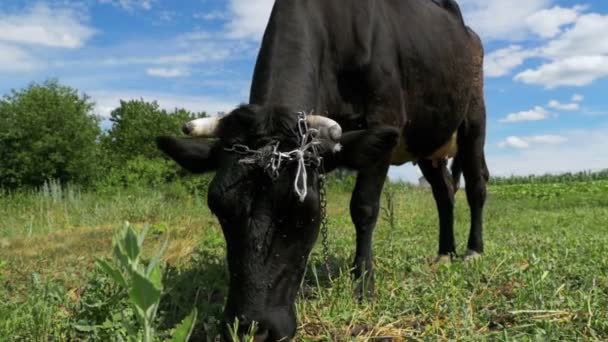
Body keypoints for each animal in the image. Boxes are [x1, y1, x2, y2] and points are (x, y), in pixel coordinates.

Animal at [157, 0, 490, 338]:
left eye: (305, 212)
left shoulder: (386, 118)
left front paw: (363, 285)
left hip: (473, 119)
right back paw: (445, 253)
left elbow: (364, 208)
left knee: (476, 185)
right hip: (427, 141)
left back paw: (472, 251)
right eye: (218, 208)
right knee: (444, 192)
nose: (251, 327)